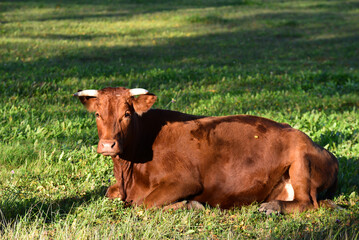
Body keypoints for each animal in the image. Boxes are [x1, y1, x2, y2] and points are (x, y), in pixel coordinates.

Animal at [74, 86, 340, 214]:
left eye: (127, 114)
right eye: (97, 114)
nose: (108, 145)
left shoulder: (185, 180)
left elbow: (144, 203)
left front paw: (190, 205)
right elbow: (110, 192)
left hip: (301, 161)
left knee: (308, 202)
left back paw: (271, 207)